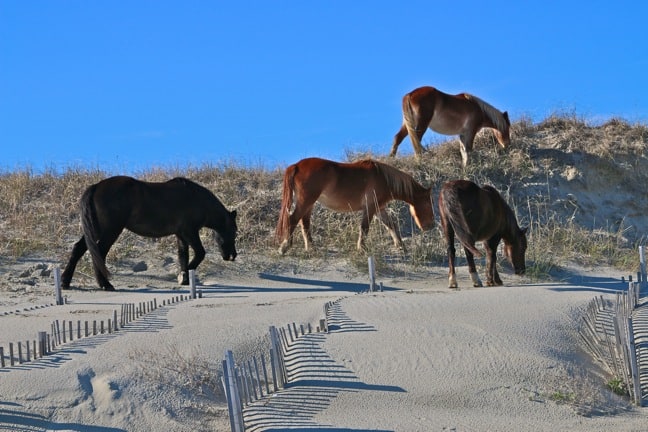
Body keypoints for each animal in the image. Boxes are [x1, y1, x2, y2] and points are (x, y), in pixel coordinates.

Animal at [60, 176, 238, 290]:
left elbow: (183, 256)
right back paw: (106, 284)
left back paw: (65, 282)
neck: (195, 198)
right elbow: (200, 253)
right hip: (110, 231)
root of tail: (96, 186)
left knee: (79, 249)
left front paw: (185, 279)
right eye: (234, 232)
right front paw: (183, 276)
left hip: (96, 230)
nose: (232, 256)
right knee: (99, 254)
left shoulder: (181, 235)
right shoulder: (190, 232)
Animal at [274, 157, 436, 255]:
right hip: (306, 201)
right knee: (293, 219)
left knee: (304, 223)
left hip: (309, 203)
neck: (383, 178)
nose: (431, 226)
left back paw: (311, 247)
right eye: (428, 204)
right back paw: (284, 247)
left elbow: (390, 224)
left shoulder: (379, 208)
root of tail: (297, 165)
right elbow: (364, 227)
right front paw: (362, 248)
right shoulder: (370, 208)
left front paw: (401, 245)